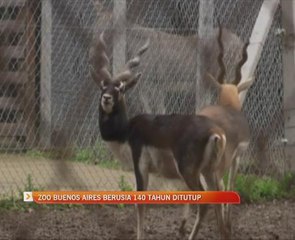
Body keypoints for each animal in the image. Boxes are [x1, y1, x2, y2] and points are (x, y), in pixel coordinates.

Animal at [91, 32, 231, 240]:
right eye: (102, 86)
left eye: (120, 88)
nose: (106, 99)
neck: (126, 131)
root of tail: (215, 133)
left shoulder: (140, 165)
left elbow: (140, 203)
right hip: (209, 170)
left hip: (189, 171)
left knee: (204, 202)